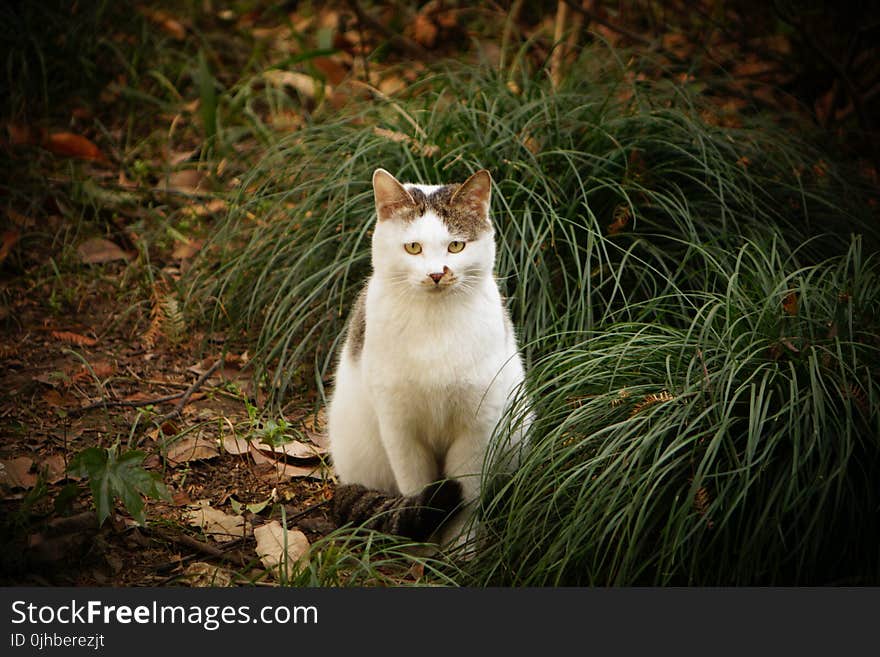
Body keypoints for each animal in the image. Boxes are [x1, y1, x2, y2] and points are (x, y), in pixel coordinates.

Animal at [326, 165, 524, 544]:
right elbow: (416, 492)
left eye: (456, 245)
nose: (436, 274)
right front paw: (423, 549)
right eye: (413, 247)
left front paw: (460, 549)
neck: (434, 324)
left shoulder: (477, 428)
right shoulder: (400, 428)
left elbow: (467, 504)